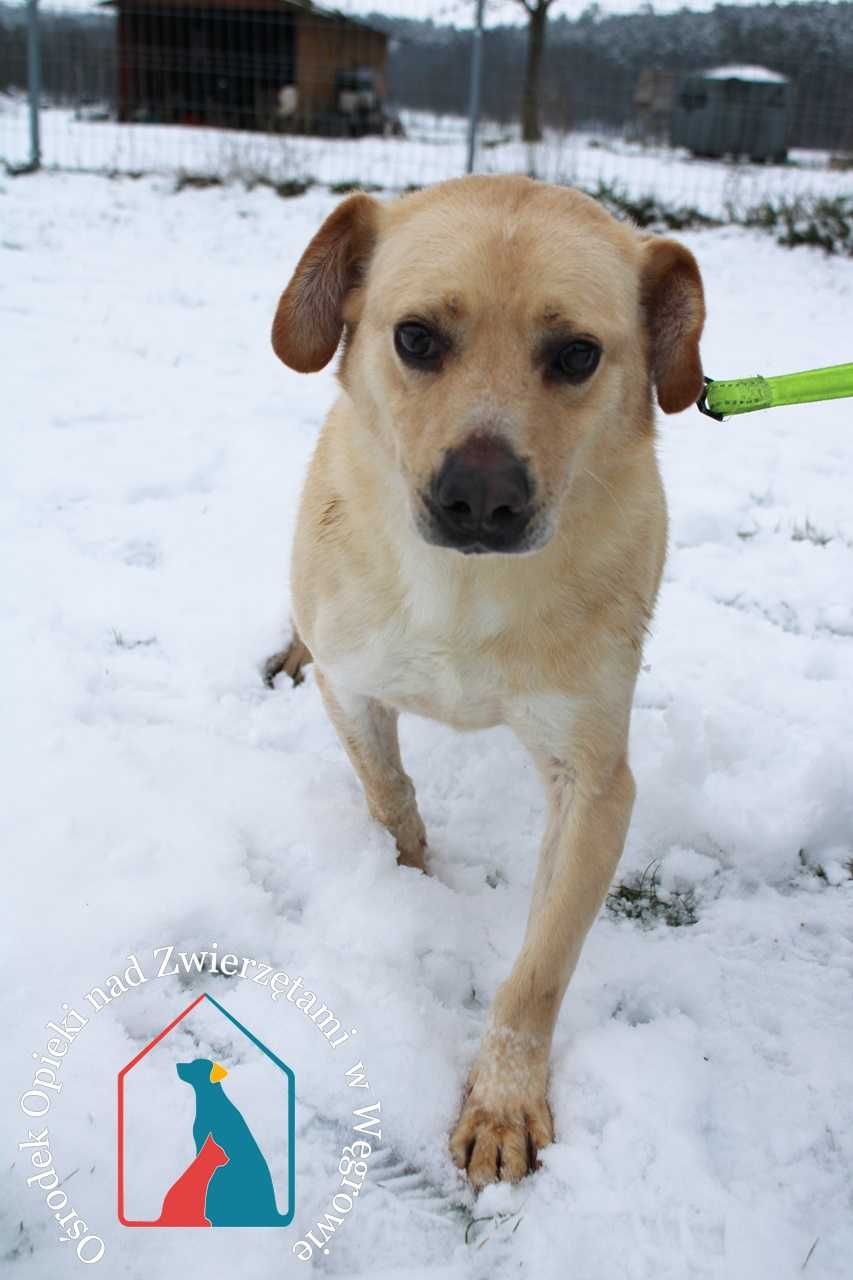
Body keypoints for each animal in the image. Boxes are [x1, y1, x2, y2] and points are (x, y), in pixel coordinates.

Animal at [266, 172, 701, 1187]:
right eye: (416, 337)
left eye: (577, 354)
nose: (480, 497)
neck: (464, 597)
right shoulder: (356, 688)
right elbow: (388, 791)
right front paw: (410, 877)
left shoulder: (595, 779)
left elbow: (540, 966)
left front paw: (503, 1100)